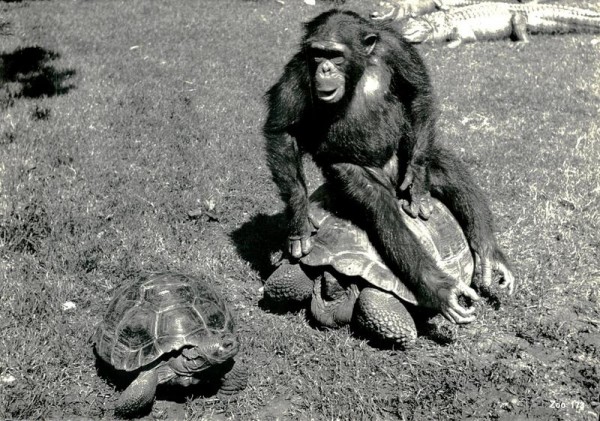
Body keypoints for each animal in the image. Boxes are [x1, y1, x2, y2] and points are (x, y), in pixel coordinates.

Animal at [264, 10, 516, 324]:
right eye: (318, 53)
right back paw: (439, 287)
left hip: (407, 152)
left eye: (335, 55)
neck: (360, 68)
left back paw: (487, 253)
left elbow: (418, 92)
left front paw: (418, 183)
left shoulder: (396, 48)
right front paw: (299, 222)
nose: (324, 68)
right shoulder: (299, 68)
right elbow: (282, 130)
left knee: (442, 165)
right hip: (354, 174)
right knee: (382, 210)